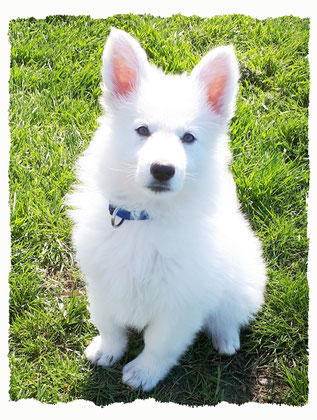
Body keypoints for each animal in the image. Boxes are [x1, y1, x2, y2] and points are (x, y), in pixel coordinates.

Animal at [68, 27, 266, 392]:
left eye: (188, 138)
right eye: (142, 130)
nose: (163, 169)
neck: (148, 217)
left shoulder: (181, 303)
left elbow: (160, 343)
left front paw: (143, 373)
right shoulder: (102, 281)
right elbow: (108, 322)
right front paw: (107, 350)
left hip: (243, 277)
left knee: (230, 313)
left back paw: (225, 338)